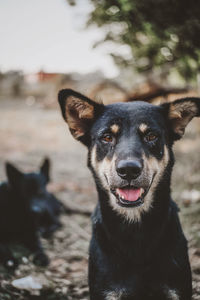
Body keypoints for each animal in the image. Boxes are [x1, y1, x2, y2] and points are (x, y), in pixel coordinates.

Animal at [58, 89, 200, 300]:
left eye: (151, 136)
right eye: (107, 137)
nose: (129, 170)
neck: (135, 230)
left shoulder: (176, 290)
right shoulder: (107, 291)